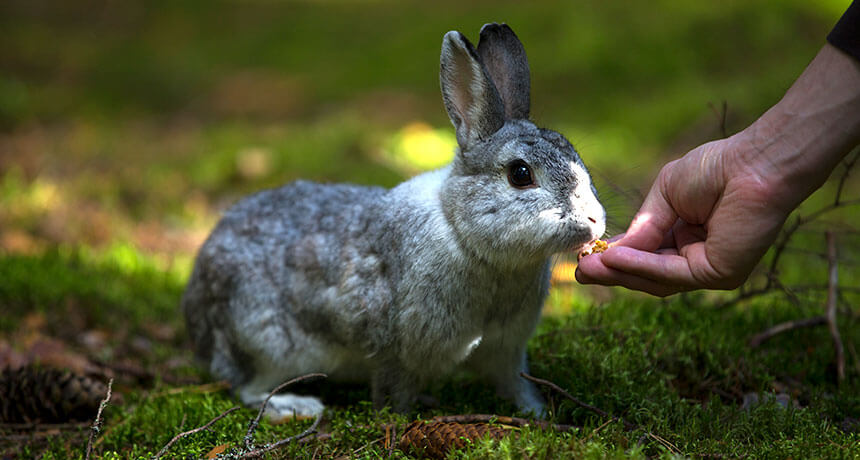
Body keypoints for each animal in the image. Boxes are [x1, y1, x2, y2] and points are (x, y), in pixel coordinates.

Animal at [183, 24, 604, 420]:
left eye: (574, 154)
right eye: (520, 174)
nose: (595, 222)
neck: (461, 232)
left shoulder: (506, 348)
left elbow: (513, 382)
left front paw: (535, 411)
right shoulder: (398, 351)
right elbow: (393, 389)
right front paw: (398, 420)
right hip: (269, 344)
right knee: (249, 388)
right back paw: (295, 406)